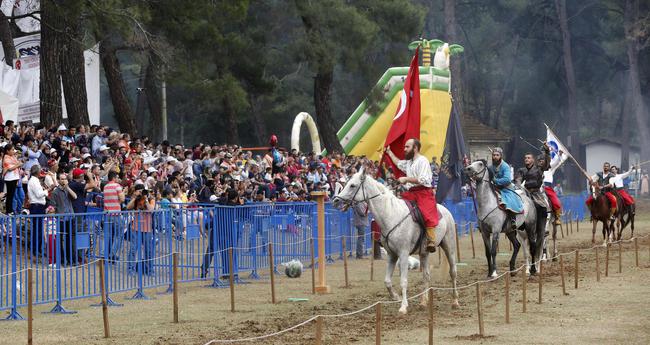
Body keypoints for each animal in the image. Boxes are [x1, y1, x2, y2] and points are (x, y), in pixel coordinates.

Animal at [332, 168, 458, 314]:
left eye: (352, 185)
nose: (335, 200)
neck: (391, 215)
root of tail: (446, 211)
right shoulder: (392, 255)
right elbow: (387, 281)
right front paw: (395, 297)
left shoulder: (403, 254)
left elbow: (403, 281)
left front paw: (403, 306)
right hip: (424, 252)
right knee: (426, 275)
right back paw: (423, 302)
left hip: (449, 246)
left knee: (453, 272)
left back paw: (455, 301)